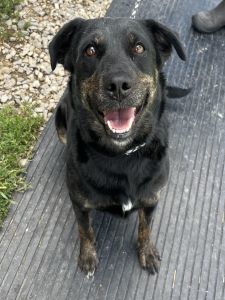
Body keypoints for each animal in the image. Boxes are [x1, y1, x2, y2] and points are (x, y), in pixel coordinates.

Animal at [48, 17, 188, 276]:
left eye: (139, 48)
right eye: (90, 50)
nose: (118, 85)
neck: (122, 155)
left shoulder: (151, 199)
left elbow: (145, 227)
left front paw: (146, 251)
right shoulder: (80, 204)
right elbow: (85, 230)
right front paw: (88, 256)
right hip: (59, 119)